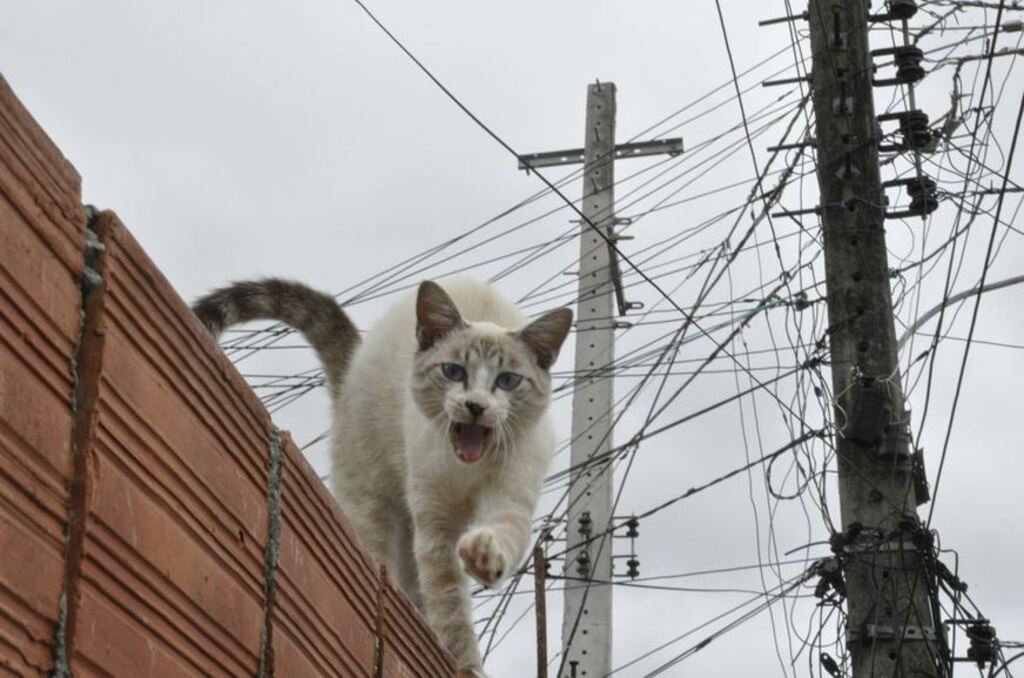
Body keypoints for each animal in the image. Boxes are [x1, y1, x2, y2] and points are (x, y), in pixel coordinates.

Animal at [195, 276, 573, 675]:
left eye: (508, 381)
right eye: (454, 372)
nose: (475, 406)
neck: (467, 469)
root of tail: (354, 365)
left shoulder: (511, 497)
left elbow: (505, 535)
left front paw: (484, 558)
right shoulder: (434, 526)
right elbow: (450, 606)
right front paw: (467, 664)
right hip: (374, 501)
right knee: (385, 559)